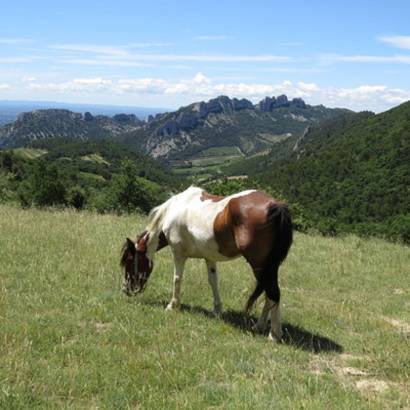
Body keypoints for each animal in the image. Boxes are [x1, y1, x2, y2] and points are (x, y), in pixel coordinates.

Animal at [120, 187, 294, 342]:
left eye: (129, 261)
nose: (125, 289)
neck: (174, 209)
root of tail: (274, 205)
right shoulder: (209, 258)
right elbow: (213, 281)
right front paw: (217, 310)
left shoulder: (178, 254)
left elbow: (177, 279)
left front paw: (172, 305)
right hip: (269, 266)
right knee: (269, 293)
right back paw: (260, 326)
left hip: (260, 266)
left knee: (273, 292)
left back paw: (274, 334)